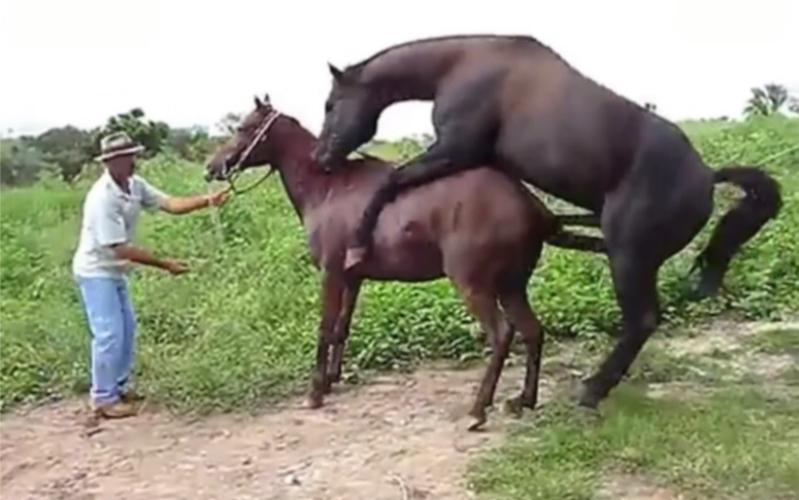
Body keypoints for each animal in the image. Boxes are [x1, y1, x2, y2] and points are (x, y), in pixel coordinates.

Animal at [205, 95, 606, 430]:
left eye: (243, 128)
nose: (212, 167)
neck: (328, 187)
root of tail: (531, 206)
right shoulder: (353, 278)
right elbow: (341, 329)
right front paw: (333, 380)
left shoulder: (331, 274)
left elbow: (325, 328)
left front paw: (315, 391)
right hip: (512, 286)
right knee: (533, 332)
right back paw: (523, 400)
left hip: (474, 285)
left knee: (502, 334)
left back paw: (478, 409)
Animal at [310, 34, 783, 409]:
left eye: (331, 103)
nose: (320, 157)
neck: (462, 64)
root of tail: (707, 178)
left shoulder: (454, 149)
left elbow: (391, 180)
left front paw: (359, 240)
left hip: (629, 259)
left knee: (642, 321)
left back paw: (591, 391)